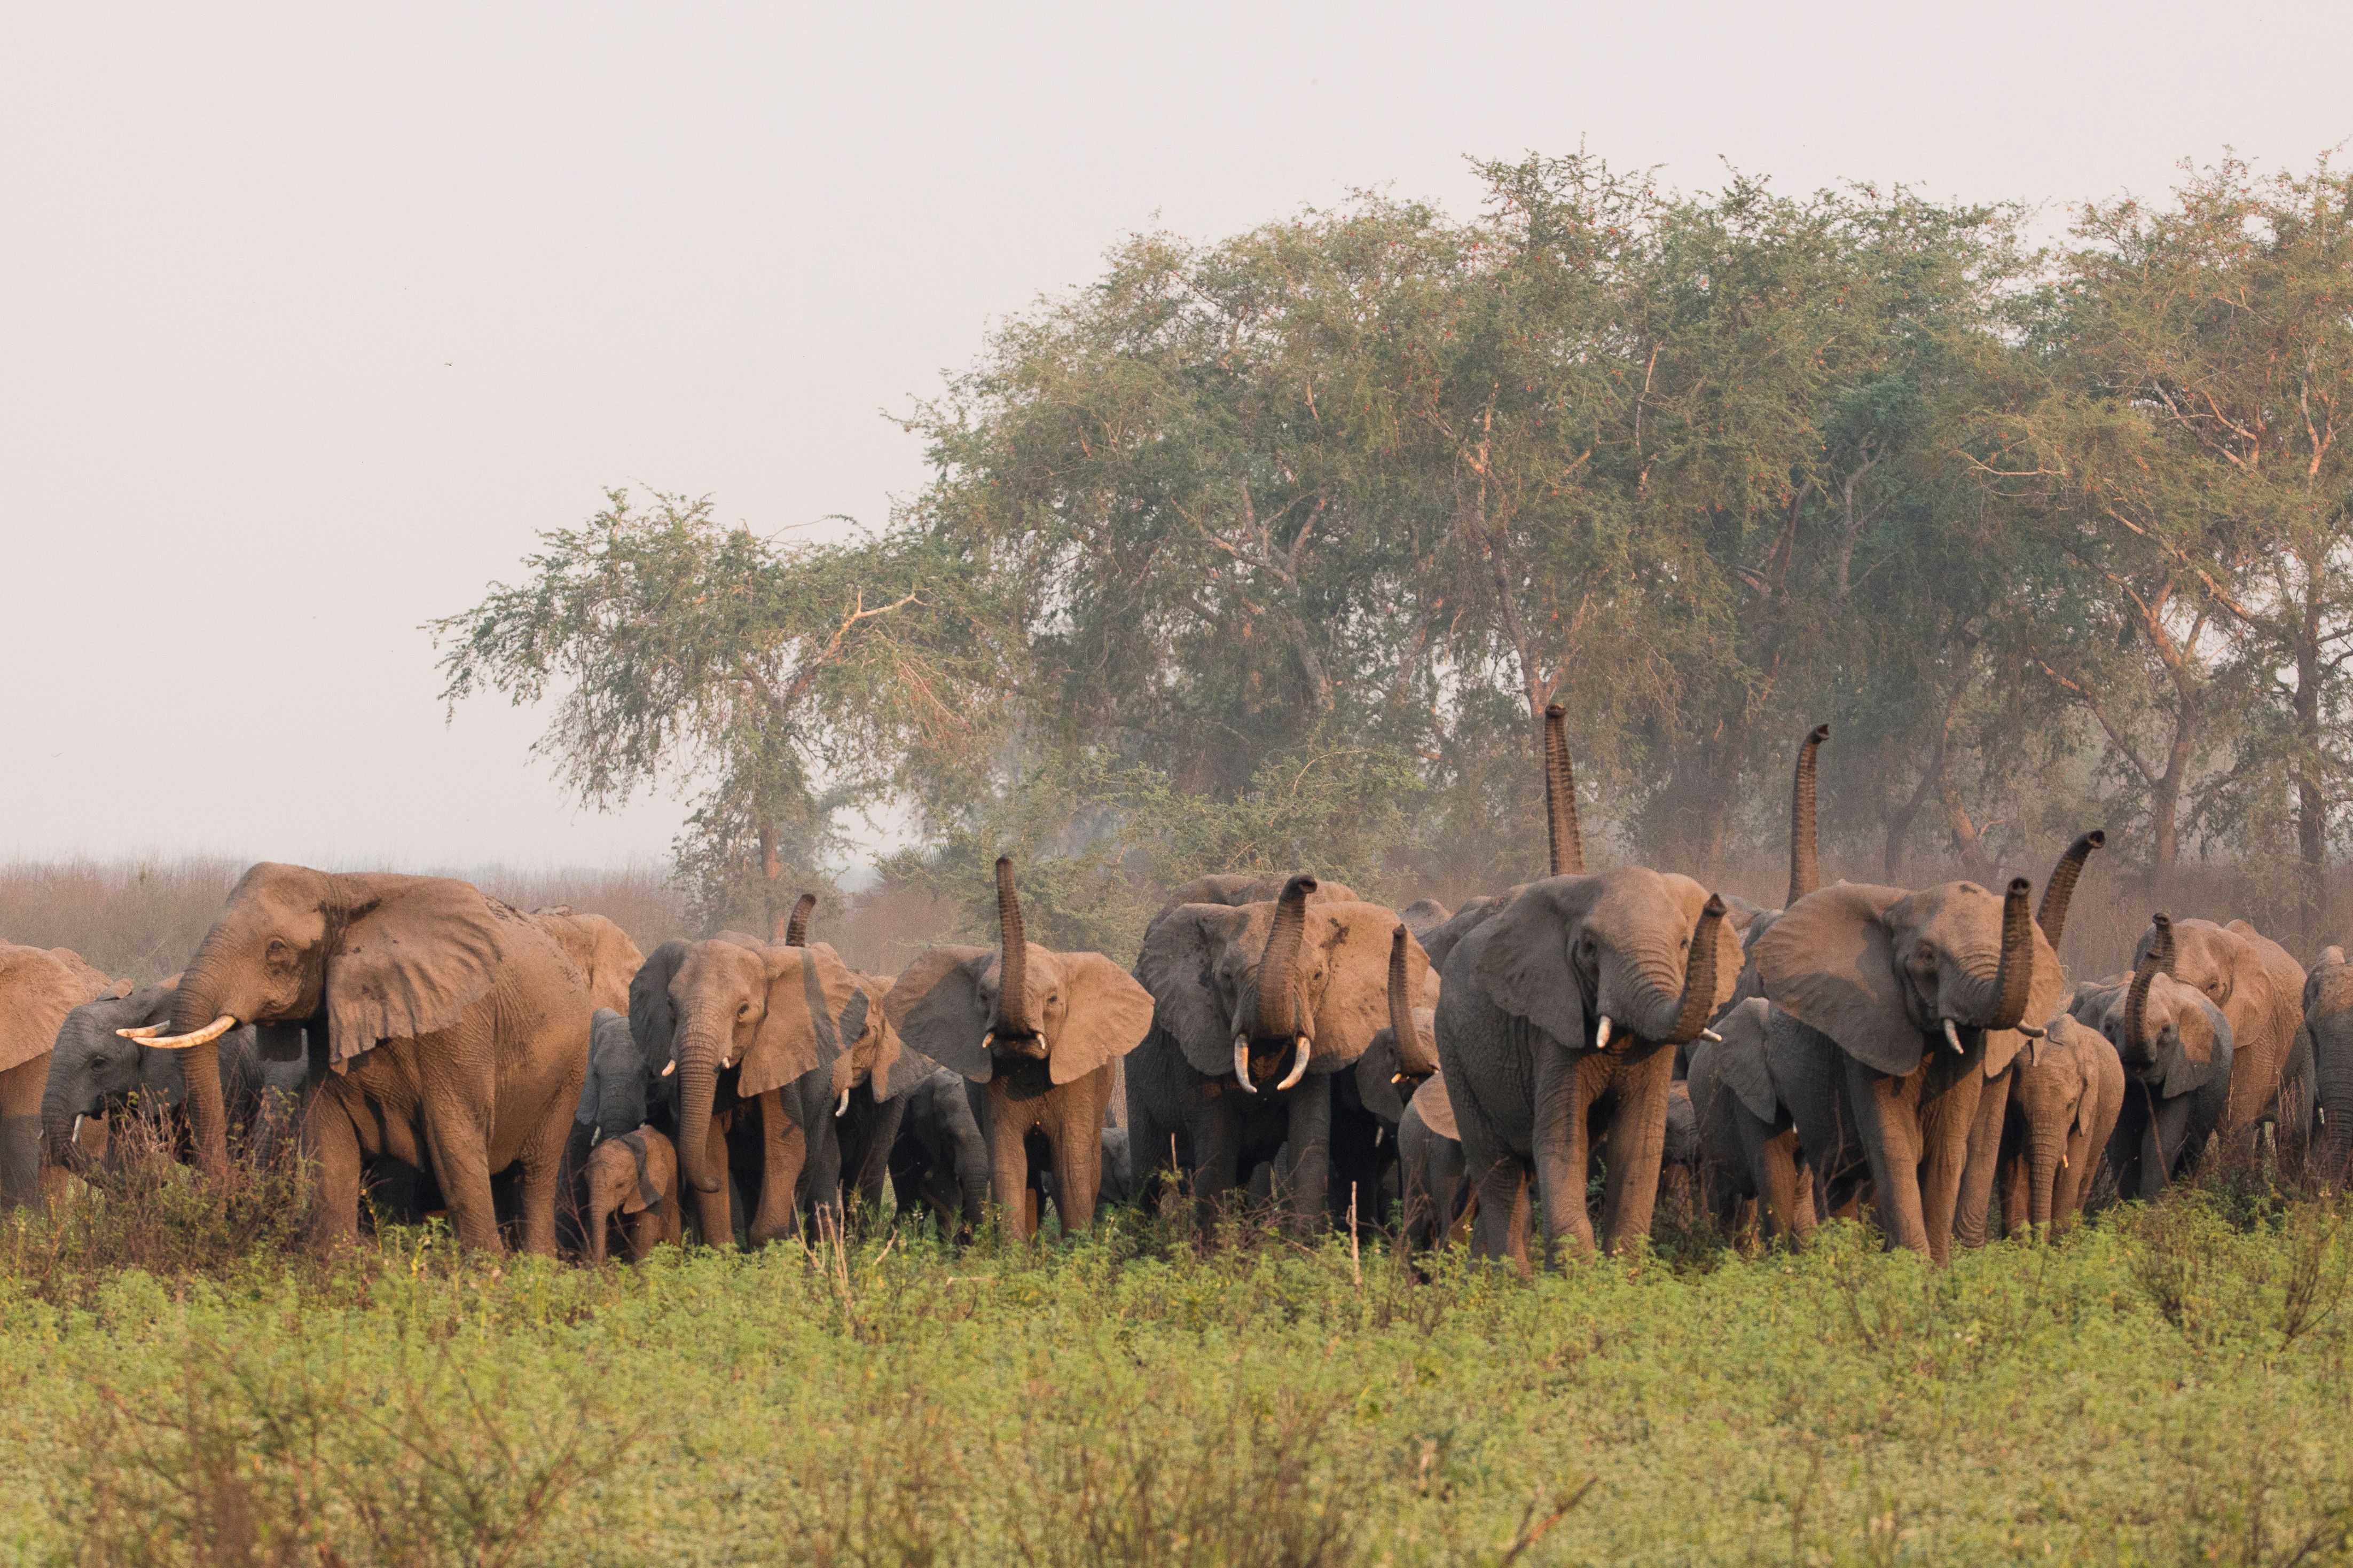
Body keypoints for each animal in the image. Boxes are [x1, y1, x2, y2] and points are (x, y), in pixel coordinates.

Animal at [130, 864, 594, 1254]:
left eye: (276, 949)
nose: (222, 1201)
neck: (342, 887)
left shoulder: (459, 1029)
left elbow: (456, 1145)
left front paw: (485, 1278)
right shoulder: (329, 1024)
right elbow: (330, 1140)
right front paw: (331, 1267)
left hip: (570, 1071)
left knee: (533, 1175)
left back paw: (535, 1268)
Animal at [1131, 874, 1426, 1235]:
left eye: (1318, 976)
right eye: (1226, 977)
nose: (1306, 881)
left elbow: (1308, 1139)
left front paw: (1302, 1245)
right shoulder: (1196, 1033)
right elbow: (1216, 1146)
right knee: (1147, 1181)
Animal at [1755, 873, 2064, 1265]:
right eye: (1928, 956)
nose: (2020, 884)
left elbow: (1947, 1147)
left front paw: (1937, 1270)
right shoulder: (1869, 1024)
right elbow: (1893, 1146)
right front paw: (1911, 1269)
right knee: (1833, 1175)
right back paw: (1847, 1263)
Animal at [2081, 916, 2235, 1197]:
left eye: (2165, 1031)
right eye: (2108, 1027)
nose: (2161, 918)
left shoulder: (2183, 1070)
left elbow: (2161, 1141)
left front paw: (2151, 1206)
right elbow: (2121, 1142)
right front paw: (2130, 1204)